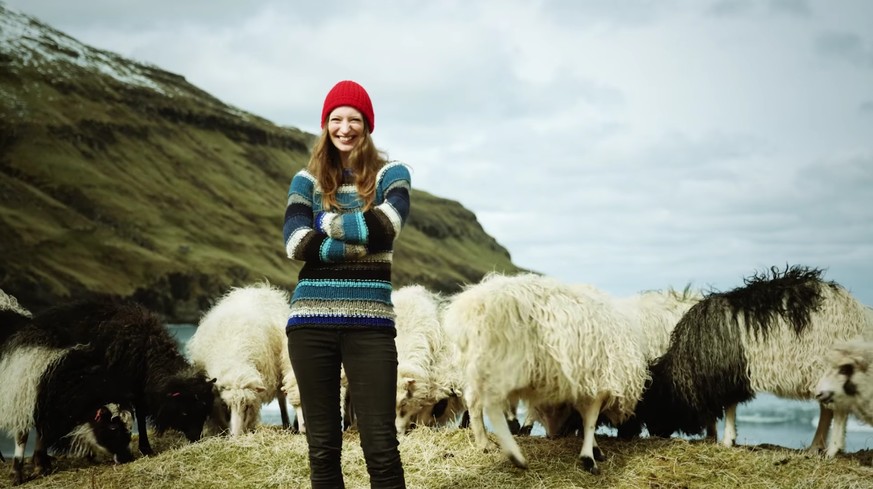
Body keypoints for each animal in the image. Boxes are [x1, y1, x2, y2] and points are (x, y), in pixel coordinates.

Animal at [24, 296, 216, 456]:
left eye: (204, 409)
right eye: (184, 411)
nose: (196, 439)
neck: (145, 352)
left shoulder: (138, 390)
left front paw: (144, 448)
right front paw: (143, 448)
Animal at [186, 282, 294, 434]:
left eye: (246, 407)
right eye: (225, 406)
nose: (236, 436)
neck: (234, 361)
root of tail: (259, 288)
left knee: (281, 400)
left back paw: (287, 424)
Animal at [446, 270, 652, 472]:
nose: (554, 435)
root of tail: (474, 304)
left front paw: (594, 449)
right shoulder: (598, 382)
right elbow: (590, 420)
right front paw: (589, 457)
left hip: (479, 364)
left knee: (474, 402)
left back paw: (484, 442)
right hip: (505, 363)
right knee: (492, 405)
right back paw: (515, 455)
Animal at [632, 264, 872, 456]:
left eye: (653, 402)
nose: (656, 434)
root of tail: (860, 314)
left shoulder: (728, 376)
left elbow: (729, 408)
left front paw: (727, 440)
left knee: (837, 411)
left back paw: (832, 450)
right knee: (827, 411)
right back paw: (815, 447)